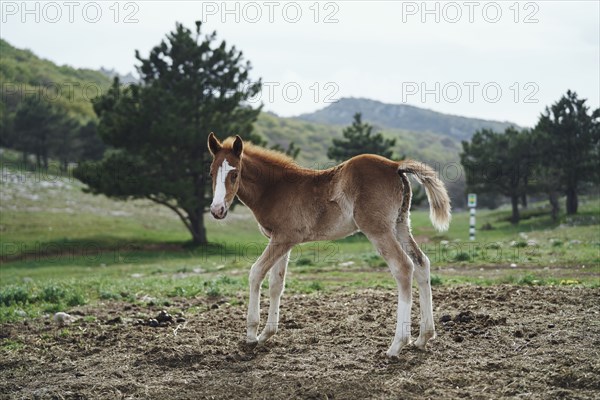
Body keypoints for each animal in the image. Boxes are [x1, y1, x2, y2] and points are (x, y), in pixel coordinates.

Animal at [207, 134, 450, 356]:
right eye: (211, 173)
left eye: (234, 174)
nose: (217, 210)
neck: (275, 188)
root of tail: (395, 166)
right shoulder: (282, 240)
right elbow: (276, 283)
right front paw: (268, 333)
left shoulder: (283, 238)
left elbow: (256, 272)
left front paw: (251, 335)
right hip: (400, 224)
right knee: (421, 263)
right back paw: (424, 337)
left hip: (378, 229)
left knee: (403, 267)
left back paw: (397, 345)